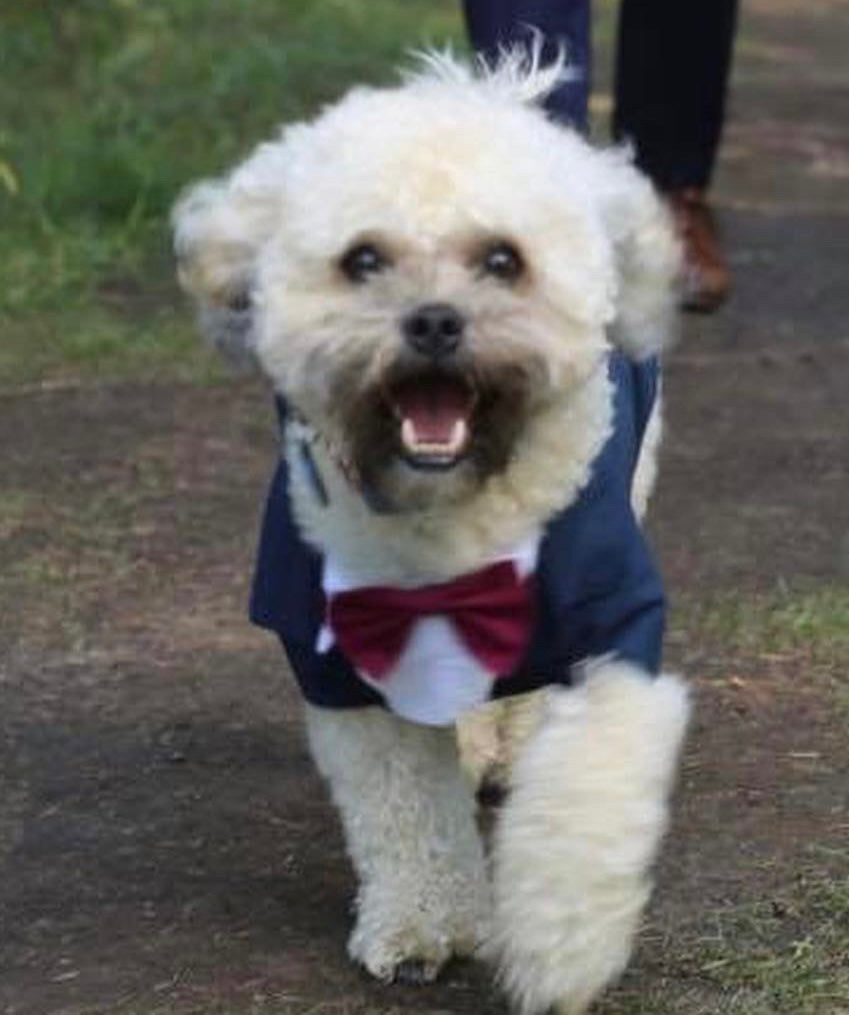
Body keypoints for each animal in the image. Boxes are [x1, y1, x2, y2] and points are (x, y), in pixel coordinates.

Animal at [172, 51, 690, 1015]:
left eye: (502, 260)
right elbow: (404, 806)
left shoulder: (610, 629)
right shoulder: (339, 650)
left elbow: (584, 788)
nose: (435, 320)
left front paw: (557, 947)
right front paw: (425, 925)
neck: (450, 521)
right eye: (362, 259)